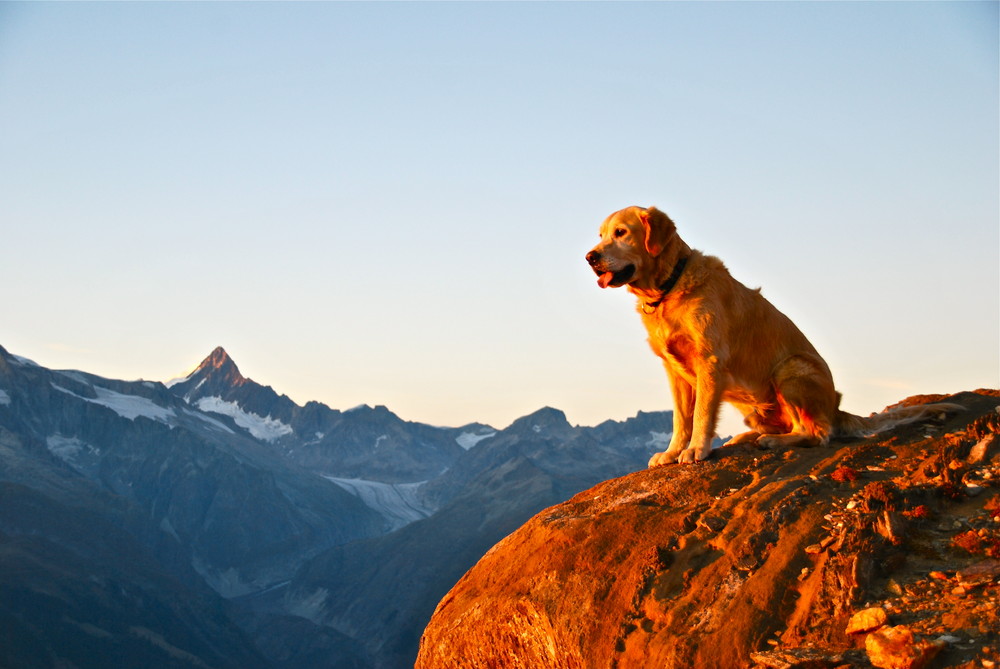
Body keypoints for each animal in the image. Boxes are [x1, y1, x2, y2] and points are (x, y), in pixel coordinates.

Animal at [584, 204, 960, 464]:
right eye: (601, 235)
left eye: (621, 232)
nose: (590, 256)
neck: (669, 285)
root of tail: (835, 408)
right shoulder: (674, 370)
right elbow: (681, 418)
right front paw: (673, 451)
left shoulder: (710, 360)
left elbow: (702, 414)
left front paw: (695, 451)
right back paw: (746, 438)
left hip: (791, 368)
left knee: (817, 432)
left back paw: (775, 441)